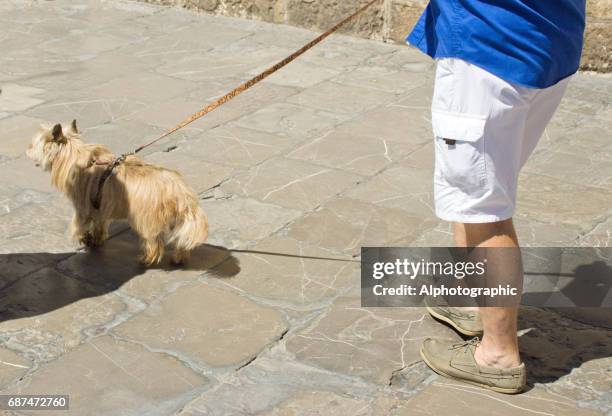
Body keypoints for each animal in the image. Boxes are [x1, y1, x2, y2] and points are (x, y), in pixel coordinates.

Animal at [26, 120, 209, 266]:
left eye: (34, 144)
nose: (27, 148)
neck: (75, 155)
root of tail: (180, 191)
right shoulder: (100, 207)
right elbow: (99, 224)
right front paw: (96, 239)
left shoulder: (82, 207)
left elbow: (82, 225)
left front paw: (85, 240)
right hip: (177, 220)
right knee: (181, 239)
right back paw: (179, 258)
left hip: (145, 219)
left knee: (153, 242)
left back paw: (146, 259)